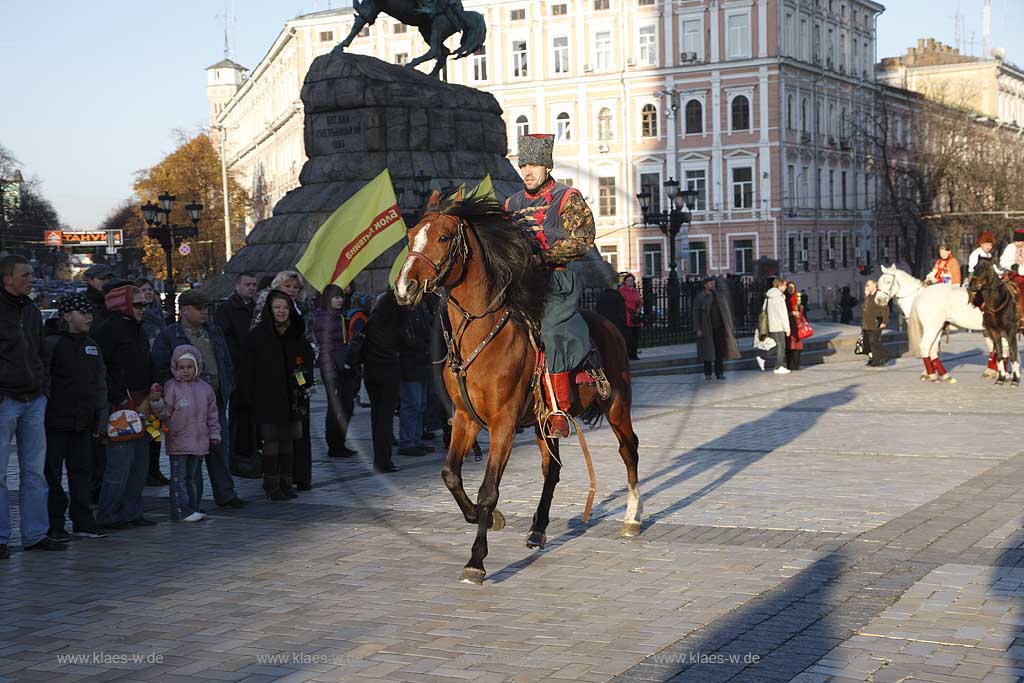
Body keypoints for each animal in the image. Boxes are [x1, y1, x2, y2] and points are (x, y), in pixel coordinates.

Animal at [391, 193, 638, 589]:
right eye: (411, 235)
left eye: (443, 237)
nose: (404, 289)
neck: (482, 335)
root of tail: (609, 326)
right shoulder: (465, 419)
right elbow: (450, 474)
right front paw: (484, 518)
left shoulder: (503, 424)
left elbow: (488, 489)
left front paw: (476, 560)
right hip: (543, 423)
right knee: (551, 470)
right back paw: (537, 529)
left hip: (617, 406)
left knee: (629, 451)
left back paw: (632, 517)